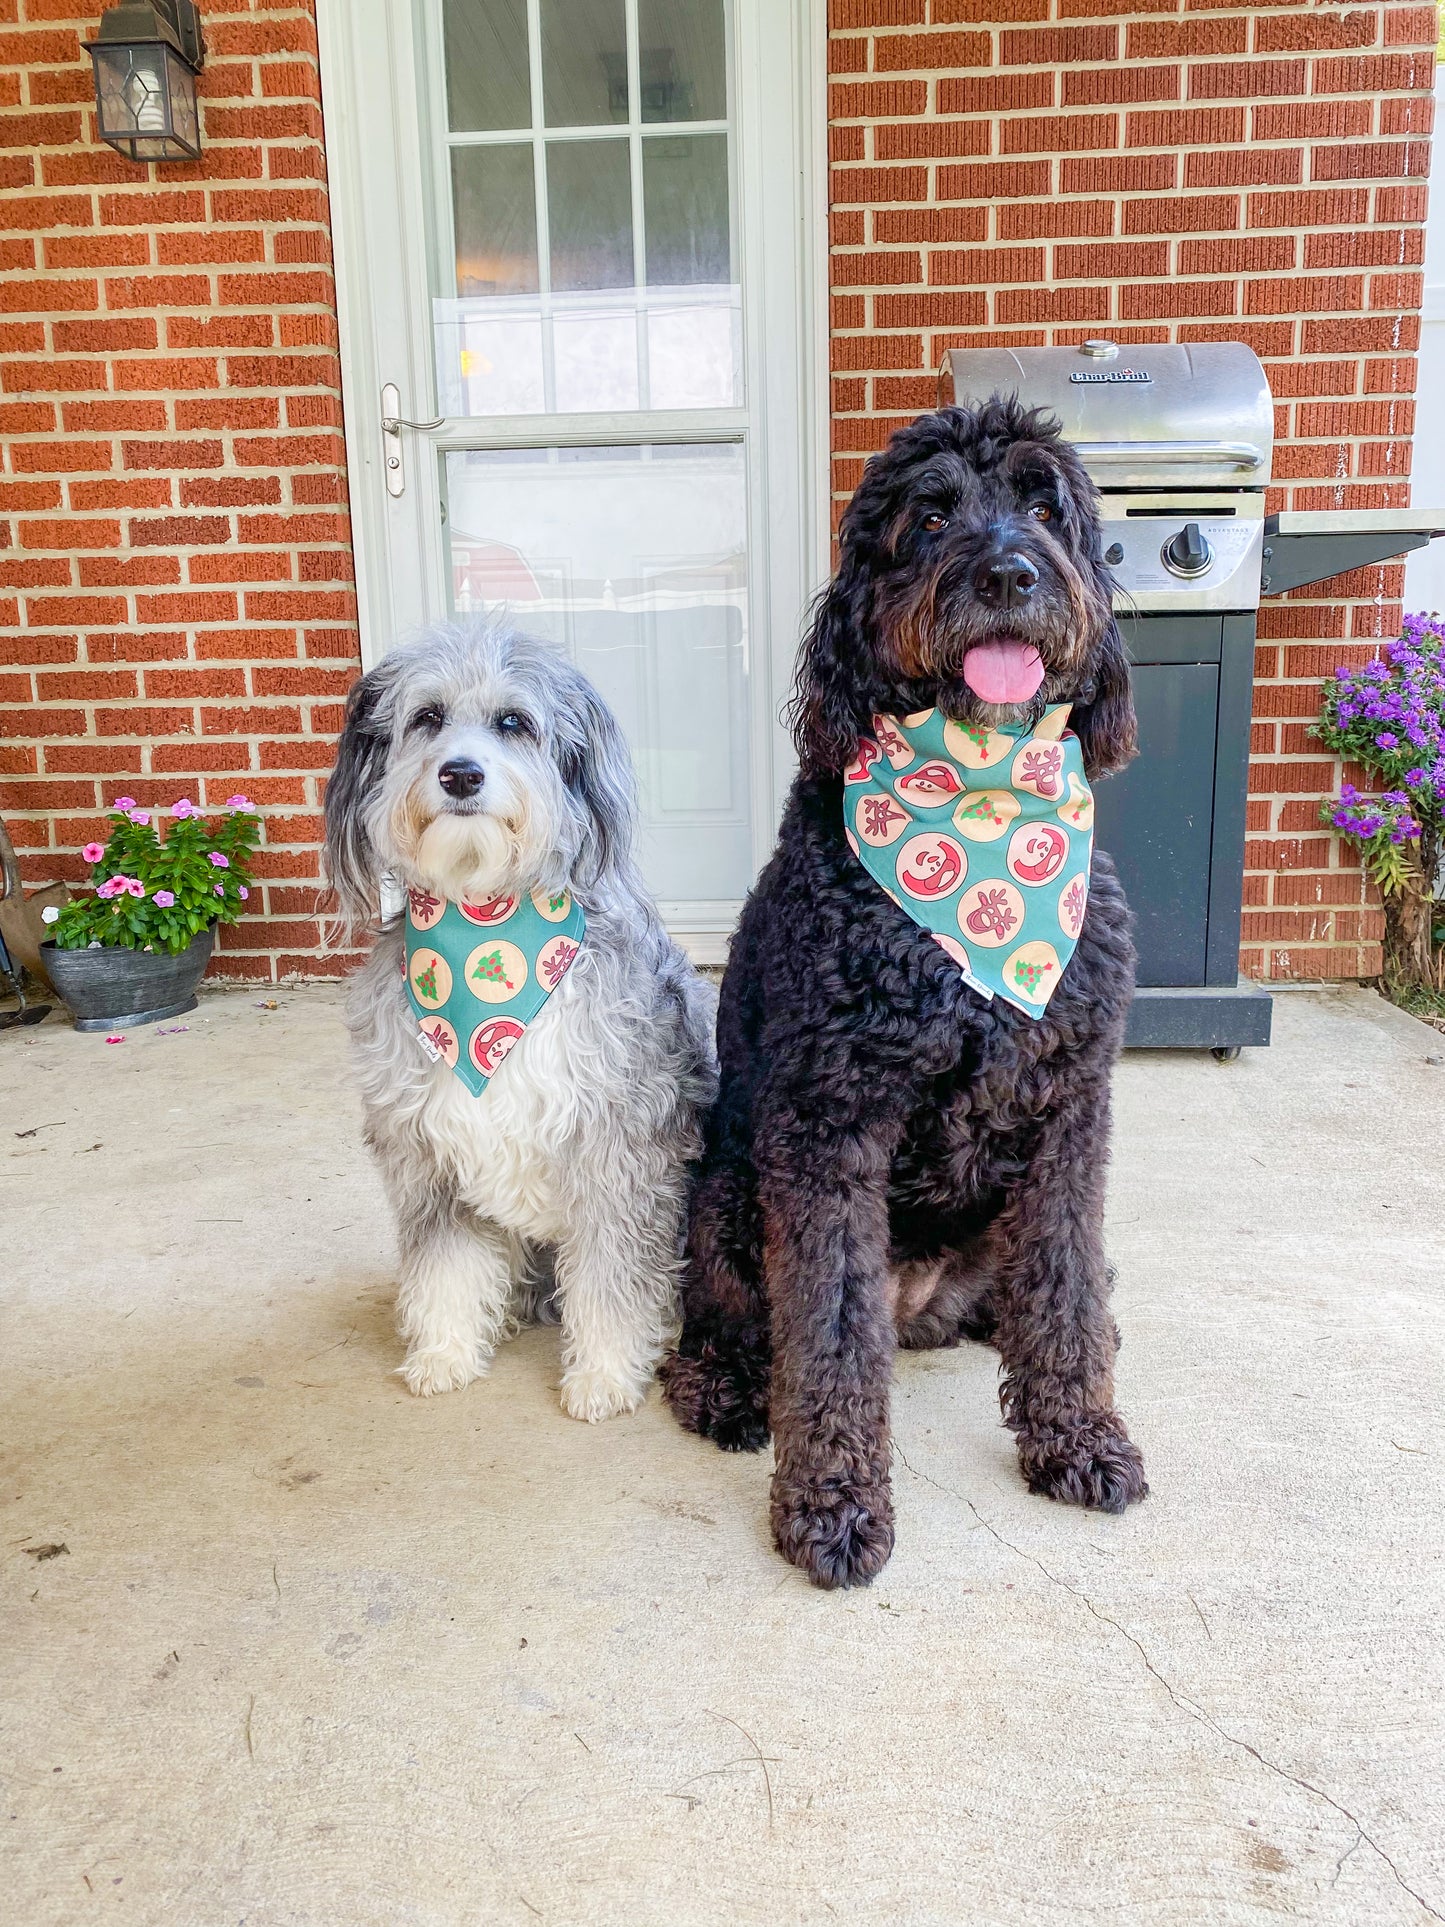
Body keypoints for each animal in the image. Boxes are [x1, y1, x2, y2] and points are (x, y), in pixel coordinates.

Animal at [321, 624, 720, 1425]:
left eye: (513, 722)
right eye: (428, 718)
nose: (460, 775)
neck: (486, 927)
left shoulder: (616, 1153)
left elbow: (612, 1278)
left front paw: (603, 1373)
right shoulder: (427, 1158)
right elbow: (445, 1268)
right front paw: (445, 1352)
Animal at [662, 398, 1148, 1587]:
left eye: (1043, 508)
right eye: (927, 518)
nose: (1009, 573)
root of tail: (921, 1308)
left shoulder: (1071, 1110)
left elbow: (1065, 1281)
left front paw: (1080, 1435)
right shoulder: (829, 1122)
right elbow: (830, 1332)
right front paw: (833, 1505)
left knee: (1035, 1289)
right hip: (730, 1195)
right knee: (719, 1332)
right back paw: (727, 1391)